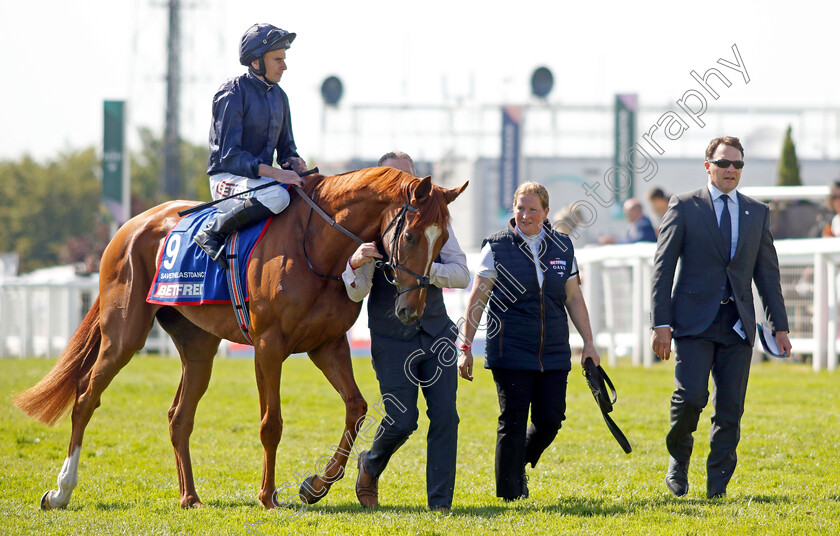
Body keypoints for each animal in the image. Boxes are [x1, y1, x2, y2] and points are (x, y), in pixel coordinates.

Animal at [13, 168, 470, 510]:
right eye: (410, 236)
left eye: (444, 242)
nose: (410, 309)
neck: (315, 246)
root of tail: (131, 226)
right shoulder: (269, 346)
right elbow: (272, 423)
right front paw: (268, 496)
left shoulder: (326, 344)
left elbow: (356, 407)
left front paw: (317, 485)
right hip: (124, 333)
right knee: (86, 395)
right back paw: (61, 490)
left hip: (197, 346)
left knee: (179, 416)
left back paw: (190, 496)